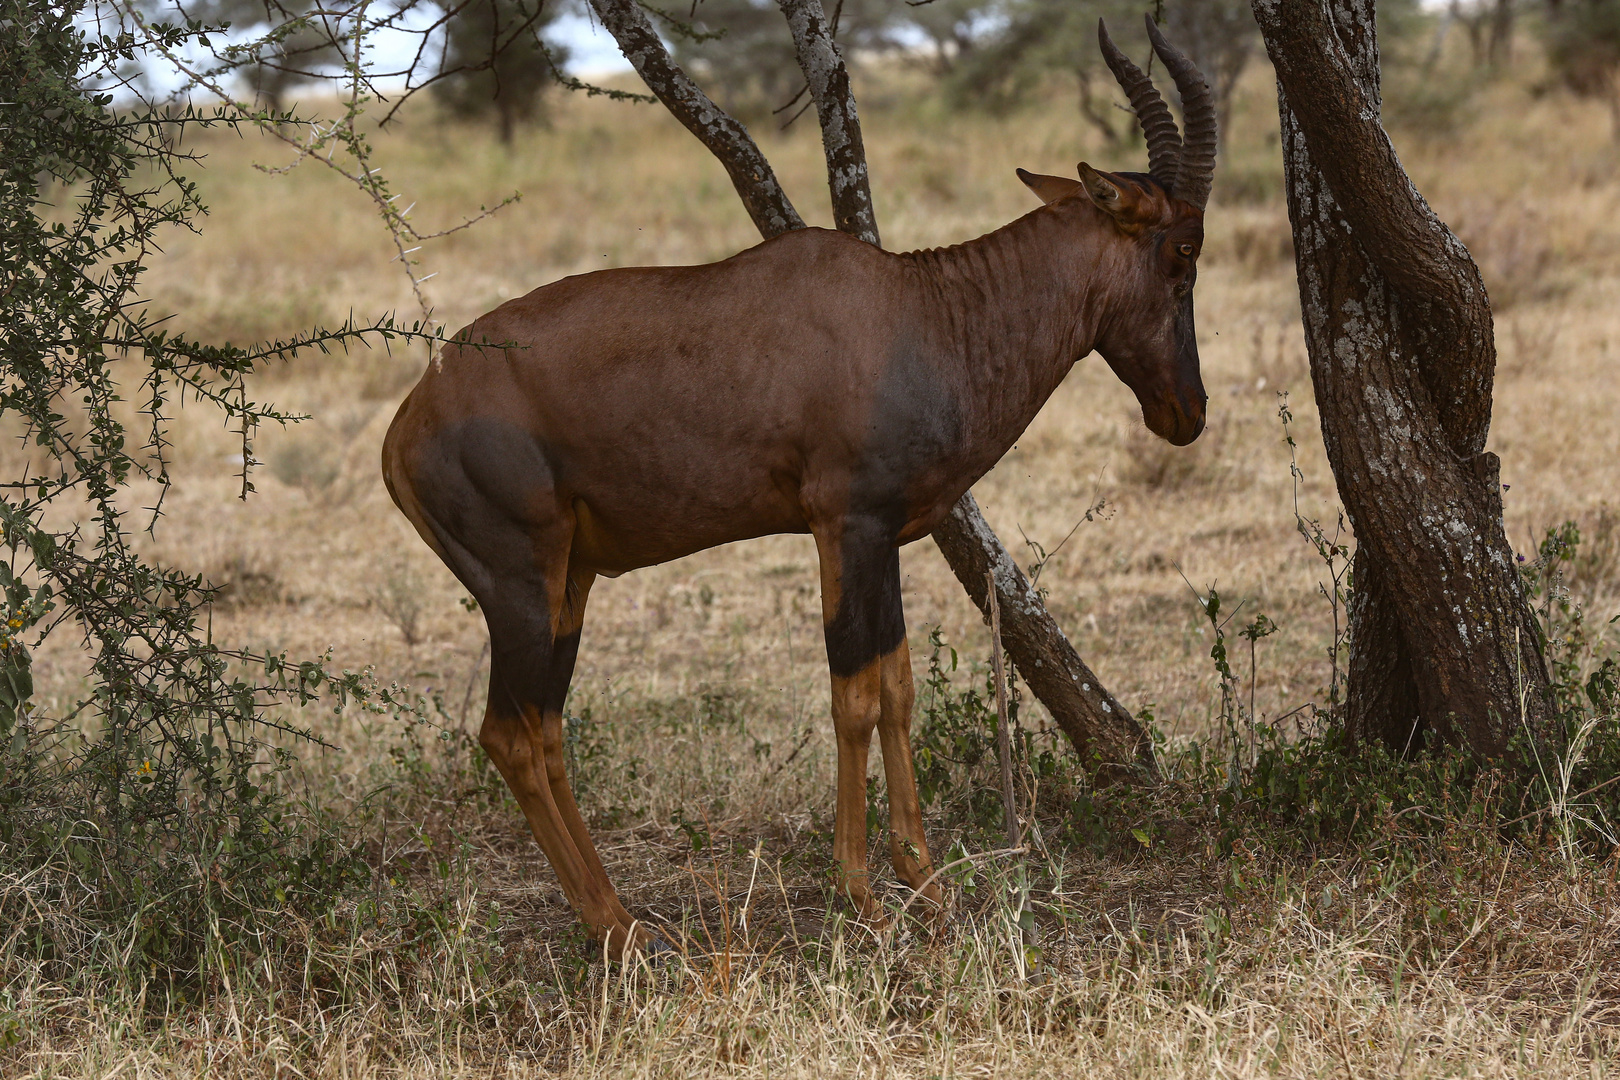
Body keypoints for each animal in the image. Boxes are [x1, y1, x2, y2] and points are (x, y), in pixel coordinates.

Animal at [382, 16, 1218, 952]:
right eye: (1183, 248)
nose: (1188, 411)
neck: (915, 310)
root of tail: (407, 422)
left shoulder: (885, 536)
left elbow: (896, 687)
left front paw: (926, 886)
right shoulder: (843, 525)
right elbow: (851, 694)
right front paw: (863, 898)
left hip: (572, 582)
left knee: (544, 724)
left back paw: (620, 919)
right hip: (518, 585)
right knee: (510, 733)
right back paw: (616, 930)